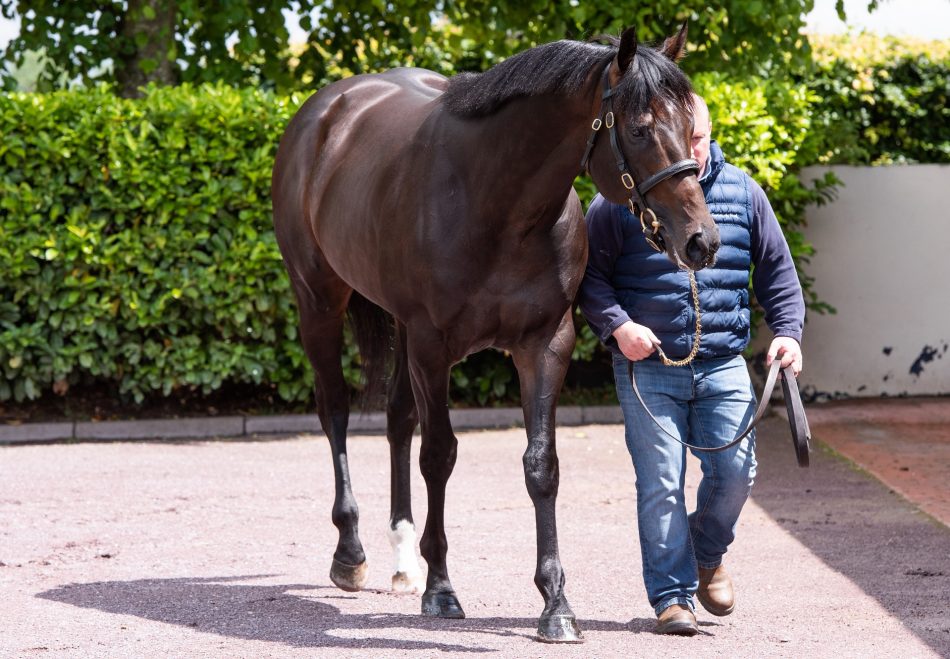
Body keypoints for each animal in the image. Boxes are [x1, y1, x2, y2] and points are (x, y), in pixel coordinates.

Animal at [272, 23, 716, 640]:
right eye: (640, 128)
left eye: (691, 128)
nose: (700, 240)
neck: (497, 204)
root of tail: (323, 113)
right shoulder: (432, 347)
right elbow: (438, 455)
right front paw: (441, 590)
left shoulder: (545, 345)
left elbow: (541, 465)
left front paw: (556, 604)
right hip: (319, 300)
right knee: (335, 409)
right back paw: (351, 554)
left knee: (397, 418)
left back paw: (403, 560)